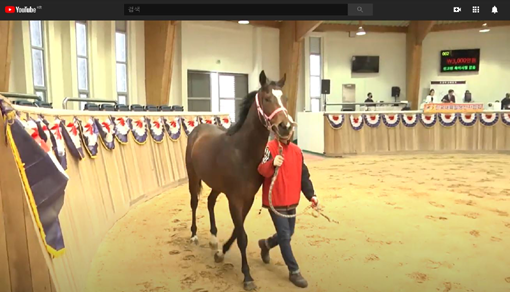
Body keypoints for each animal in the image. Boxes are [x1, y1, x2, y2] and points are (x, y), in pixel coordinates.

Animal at [185, 70, 292, 290]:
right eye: (267, 98)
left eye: (284, 98)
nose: (285, 126)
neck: (242, 152)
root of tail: (197, 129)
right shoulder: (234, 199)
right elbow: (242, 236)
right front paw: (247, 276)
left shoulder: (247, 199)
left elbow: (237, 230)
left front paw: (220, 253)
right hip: (193, 176)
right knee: (194, 202)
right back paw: (194, 236)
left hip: (216, 185)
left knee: (210, 202)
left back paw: (214, 240)